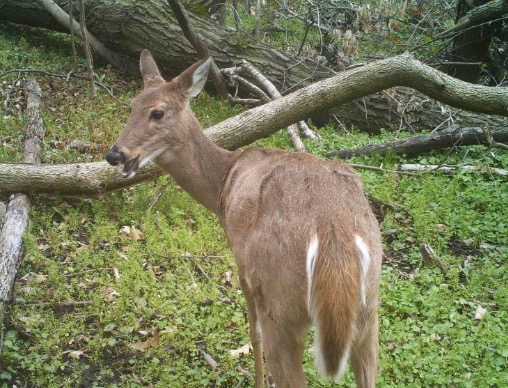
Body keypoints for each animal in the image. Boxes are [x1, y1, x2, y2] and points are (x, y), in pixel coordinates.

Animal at [105, 49, 380, 388]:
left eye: (157, 113)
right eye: (131, 105)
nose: (115, 154)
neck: (223, 180)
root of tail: (334, 232)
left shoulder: (242, 264)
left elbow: (253, 334)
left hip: (279, 300)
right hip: (368, 310)